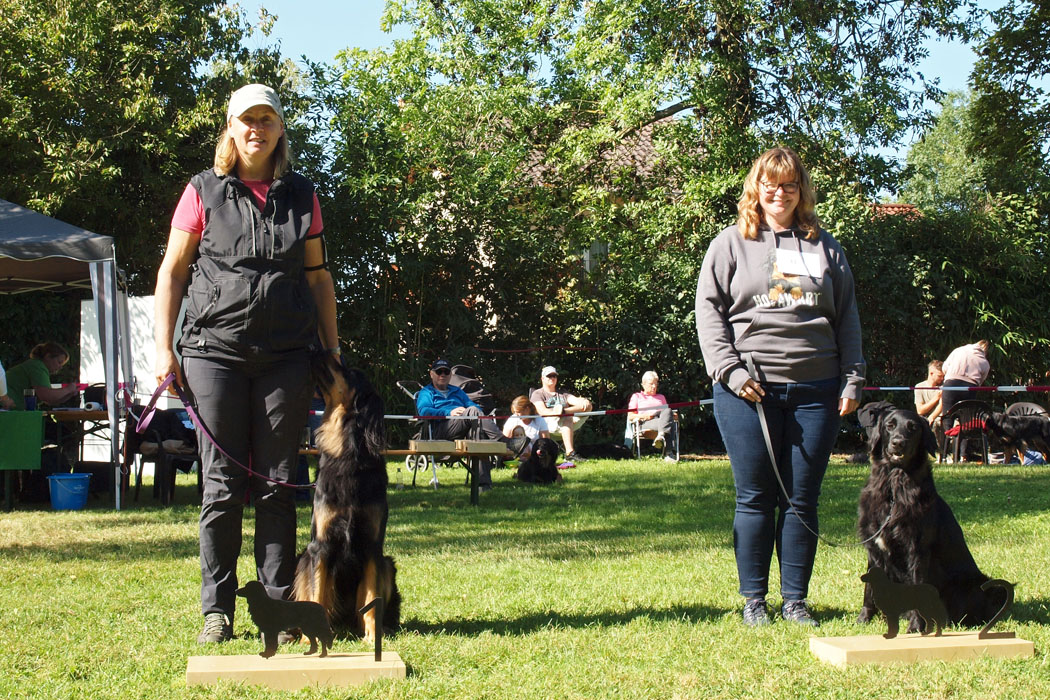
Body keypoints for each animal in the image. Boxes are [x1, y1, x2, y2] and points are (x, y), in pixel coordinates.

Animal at [856, 407, 1003, 633]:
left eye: (913, 428)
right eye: (890, 425)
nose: (898, 442)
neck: (893, 490)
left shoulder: (917, 549)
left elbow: (919, 585)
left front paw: (916, 627)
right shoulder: (873, 546)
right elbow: (869, 589)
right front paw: (864, 619)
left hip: (975, 586)